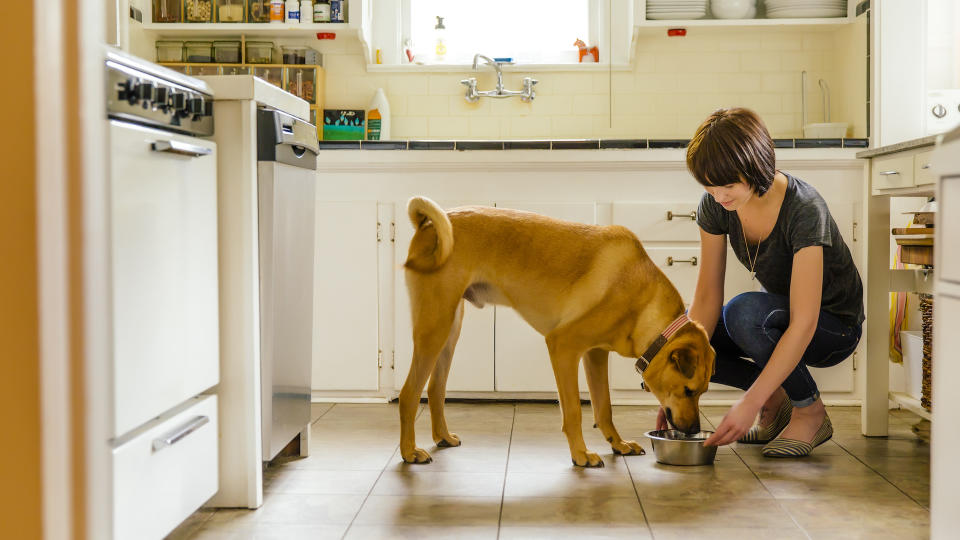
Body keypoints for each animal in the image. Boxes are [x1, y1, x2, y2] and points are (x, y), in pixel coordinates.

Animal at [396, 196, 712, 466]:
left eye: (703, 392)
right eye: (688, 390)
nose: (693, 431)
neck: (642, 301)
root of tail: (428, 224)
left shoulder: (595, 356)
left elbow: (604, 407)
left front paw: (618, 444)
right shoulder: (563, 347)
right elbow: (573, 410)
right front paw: (581, 454)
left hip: (450, 329)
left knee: (435, 389)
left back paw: (442, 437)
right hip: (434, 328)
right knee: (409, 393)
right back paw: (410, 451)